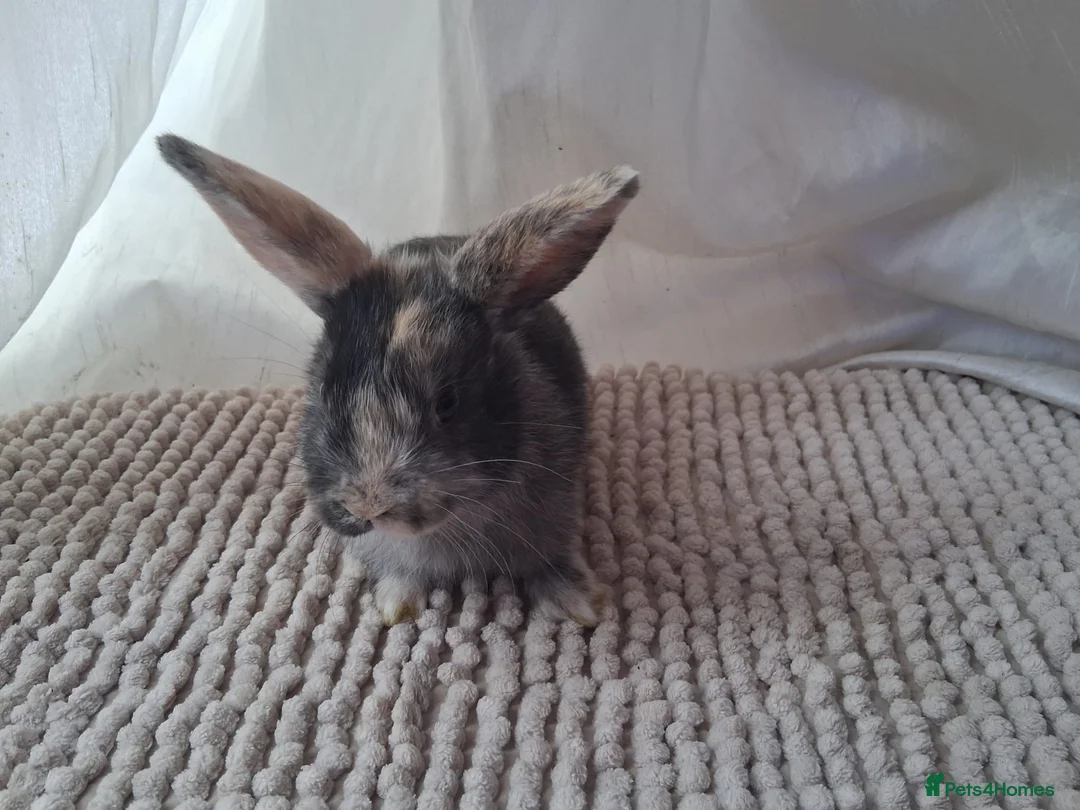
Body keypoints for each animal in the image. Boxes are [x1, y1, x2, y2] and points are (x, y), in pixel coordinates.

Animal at [157, 133, 638, 627]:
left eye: (448, 403)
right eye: (324, 392)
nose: (368, 506)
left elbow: (553, 561)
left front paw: (579, 605)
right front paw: (396, 605)